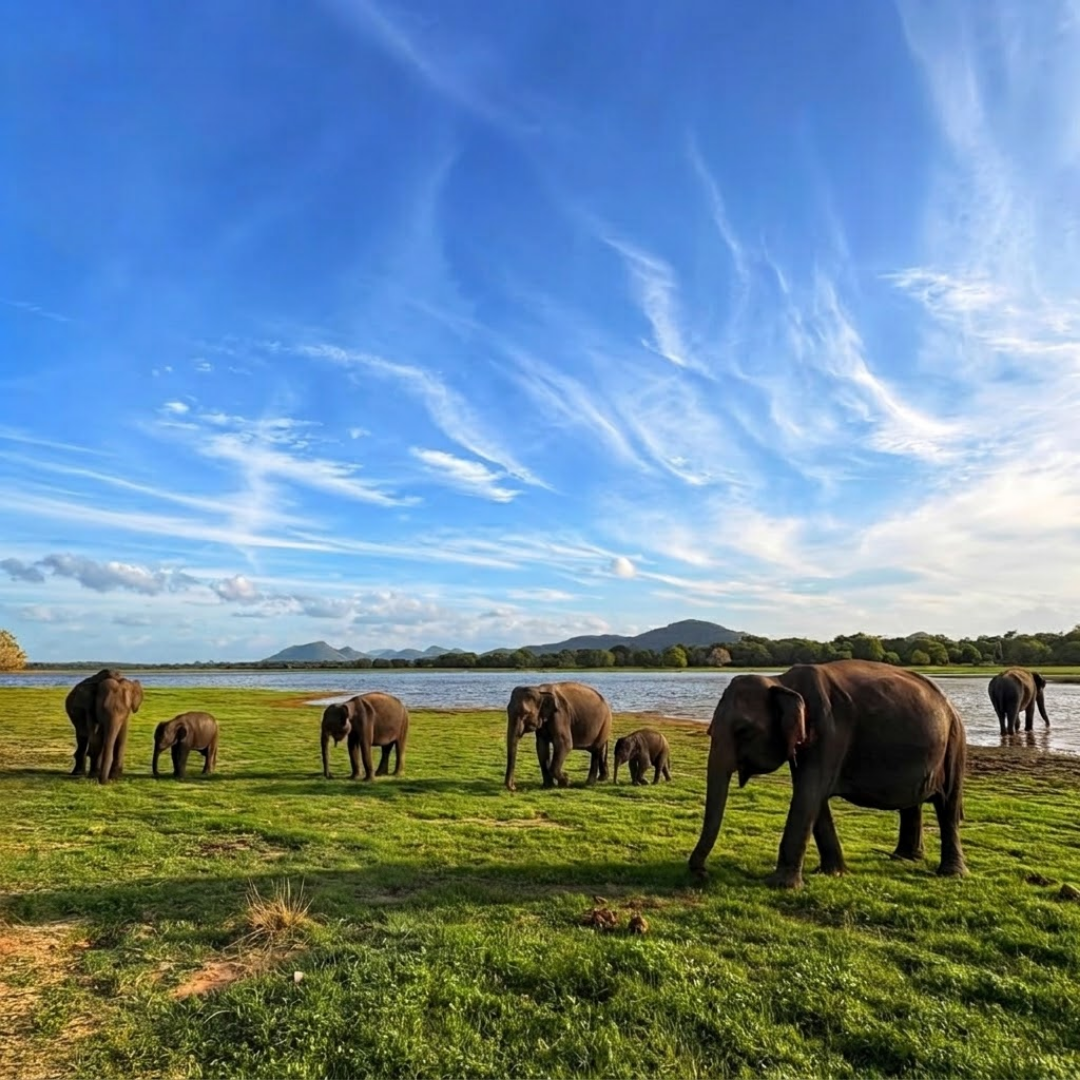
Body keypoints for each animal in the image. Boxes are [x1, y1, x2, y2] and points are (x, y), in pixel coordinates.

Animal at [688, 660, 967, 889]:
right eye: (710, 730)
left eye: (743, 731)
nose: (702, 873)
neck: (782, 681)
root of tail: (950, 705)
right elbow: (814, 798)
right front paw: (832, 873)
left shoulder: (829, 732)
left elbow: (808, 794)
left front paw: (780, 885)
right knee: (912, 803)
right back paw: (905, 859)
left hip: (955, 742)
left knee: (948, 805)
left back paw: (950, 873)